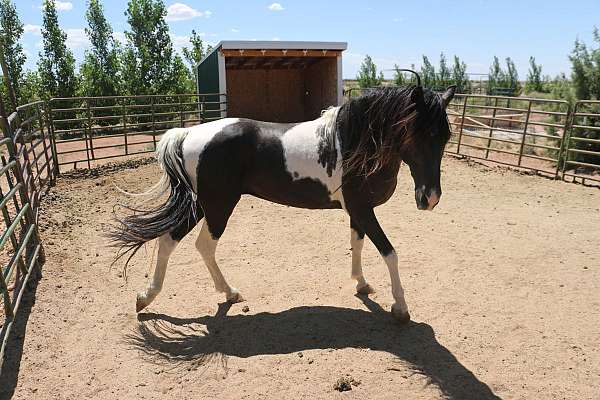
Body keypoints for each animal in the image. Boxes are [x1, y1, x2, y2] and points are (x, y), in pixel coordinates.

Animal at [111, 79, 454, 324]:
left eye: (446, 137)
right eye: (418, 133)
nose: (430, 198)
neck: (352, 143)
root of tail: (188, 134)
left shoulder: (357, 211)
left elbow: (356, 244)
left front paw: (361, 284)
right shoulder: (362, 209)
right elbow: (389, 252)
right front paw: (401, 307)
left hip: (200, 205)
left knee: (169, 240)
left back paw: (151, 297)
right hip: (218, 206)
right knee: (202, 245)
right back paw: (224, 292)